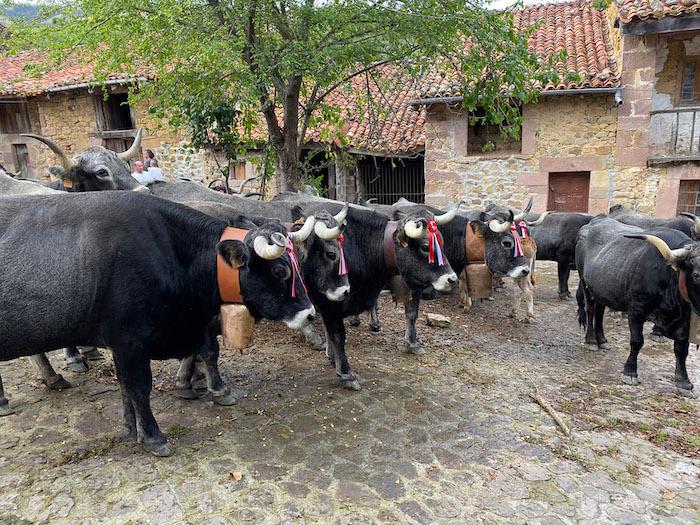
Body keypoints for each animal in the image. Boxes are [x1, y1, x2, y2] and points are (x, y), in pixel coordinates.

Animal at [0, 190, 314, 452]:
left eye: (297, 265)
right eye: (281, 271)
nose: (310, 313)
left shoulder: (128, 343)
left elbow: (128, 384)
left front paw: (131, 425)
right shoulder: (129, 340)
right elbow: (140, 386)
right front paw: (152, 435)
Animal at [576, 215, 700, 396]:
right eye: (697, 274)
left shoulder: (685, 319)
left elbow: (681, 348)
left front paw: (684, 382)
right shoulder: (636, 311)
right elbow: (637, 341)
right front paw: (630, 372)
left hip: (602, 289)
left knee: (599, 312)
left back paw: (602, 339)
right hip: (586, 285)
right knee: (591, 309)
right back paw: (592, 340)